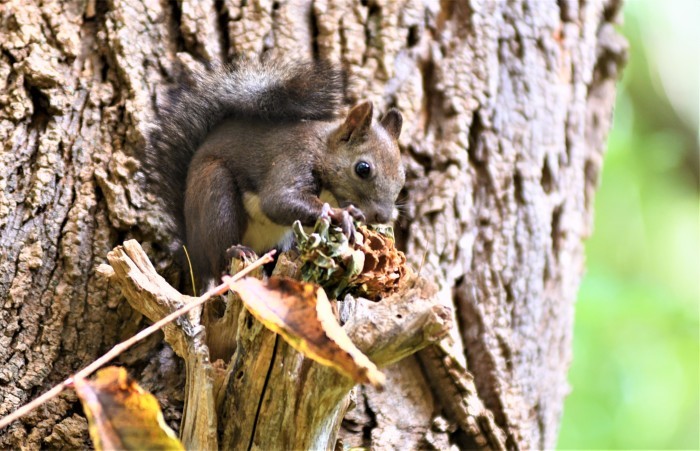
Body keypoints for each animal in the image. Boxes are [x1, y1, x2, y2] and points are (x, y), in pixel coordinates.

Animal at [145, 58, 404, 288]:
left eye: (402, 177)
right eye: (363, 169)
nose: (383, 216)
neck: (322, 149)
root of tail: (192, 249)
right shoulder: (294, 160)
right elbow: (278, 200)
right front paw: (342, 215)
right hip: (216, 193)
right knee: (218, 261)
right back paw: (234, 251)